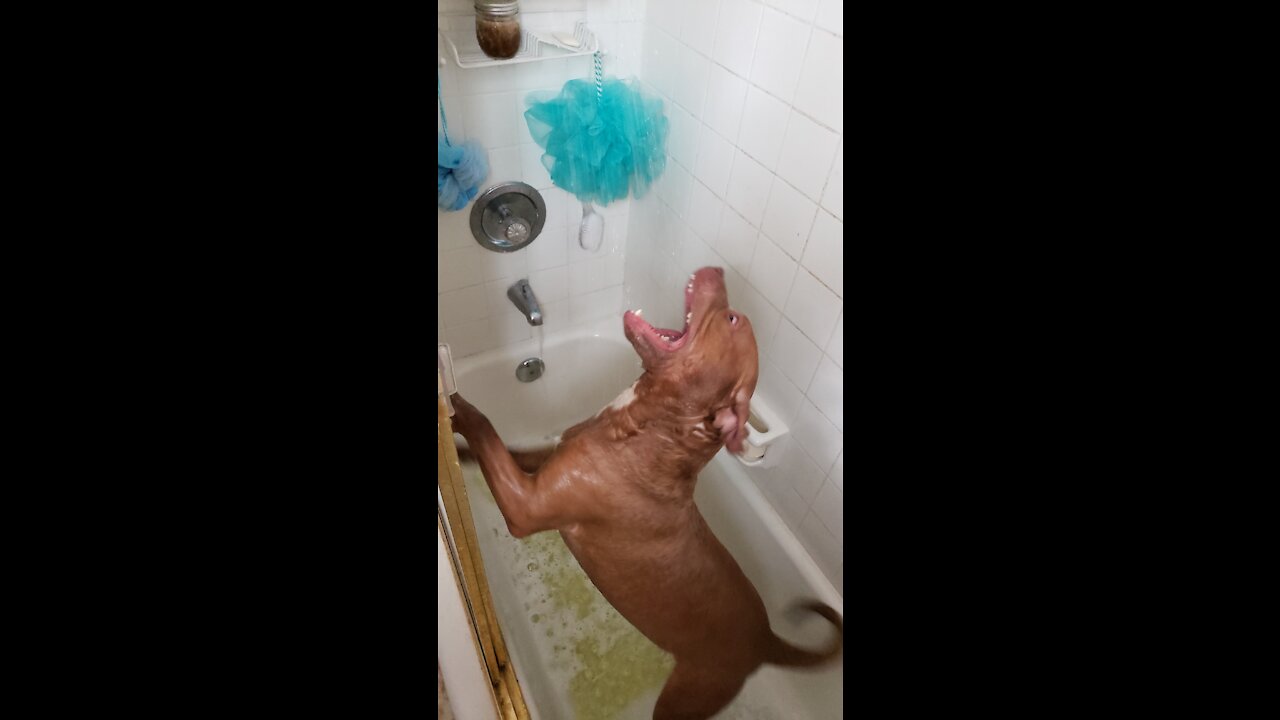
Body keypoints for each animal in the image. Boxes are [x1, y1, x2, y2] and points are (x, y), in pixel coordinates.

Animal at [450, 265, 839, 717]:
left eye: (731, 319)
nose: (718, 269)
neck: (652, 431)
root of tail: (766, 641)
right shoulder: (543, 461)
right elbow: (501, 447)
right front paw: (459, 454)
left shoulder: (524, 507)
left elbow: (485, 429)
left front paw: (456, 407)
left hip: (686, 696)